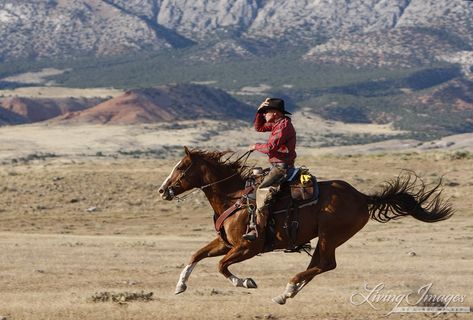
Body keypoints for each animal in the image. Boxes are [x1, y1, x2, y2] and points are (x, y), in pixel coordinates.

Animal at [157, 146, 452, 304]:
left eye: (181, 167)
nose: (162, 190)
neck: (235, 197)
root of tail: (362, 197)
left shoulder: (247, 247)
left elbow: (220, 266)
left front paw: (247, 282)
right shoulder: (224, 242)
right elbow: (195, 255)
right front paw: (180, 286)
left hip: (331, 236)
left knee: (326, 264)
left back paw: (289, 287)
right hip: (325, 238)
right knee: (318, 264)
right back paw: (287, 293)